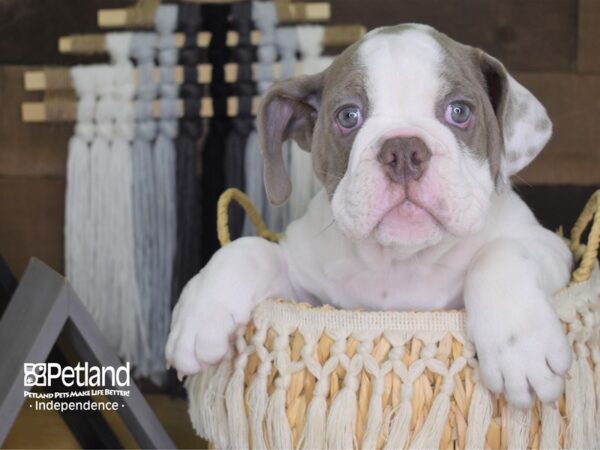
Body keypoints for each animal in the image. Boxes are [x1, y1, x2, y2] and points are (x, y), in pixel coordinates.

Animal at [165, 25, 572, 412]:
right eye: (348, 116)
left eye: (459, 111)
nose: (404, 150)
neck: (403, 259)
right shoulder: (303, 290)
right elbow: (248, 249)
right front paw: (199, 313)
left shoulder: (552, 247)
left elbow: (500, 254)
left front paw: (521, 350)